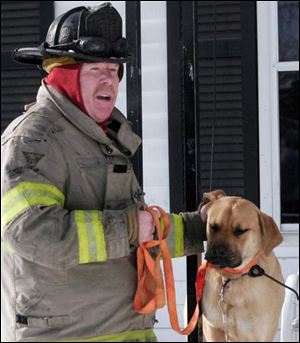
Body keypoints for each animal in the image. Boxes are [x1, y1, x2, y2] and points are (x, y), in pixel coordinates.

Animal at [200, 189, 284, 342]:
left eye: (240, 231)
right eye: (214, 226)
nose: (218, 251)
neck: (235, 277)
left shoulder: (260, 333)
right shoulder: (213, 328)